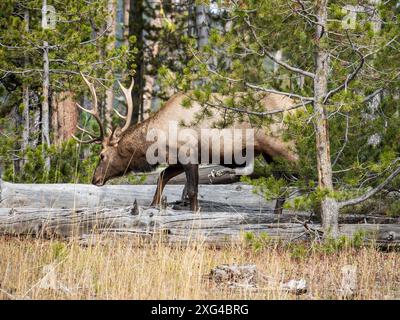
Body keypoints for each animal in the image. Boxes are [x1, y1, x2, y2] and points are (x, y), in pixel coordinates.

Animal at [72, 74, 296, 215]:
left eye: (102, 155)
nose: (95, 178)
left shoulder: (189, 154)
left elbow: (192, 191)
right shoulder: (178, 159)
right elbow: (162, 177)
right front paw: (154, 206)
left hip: (284, 149)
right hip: (270, 155)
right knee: (282, 184)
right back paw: (276, 216)